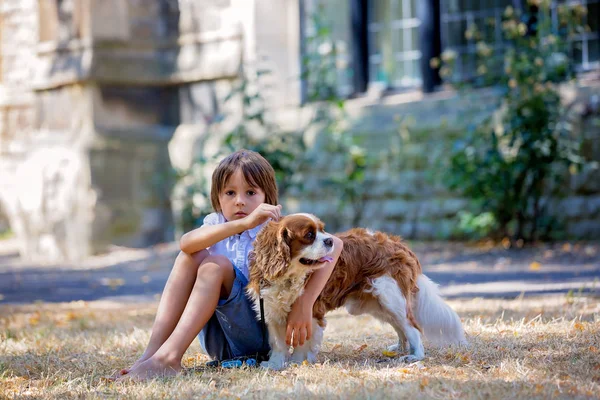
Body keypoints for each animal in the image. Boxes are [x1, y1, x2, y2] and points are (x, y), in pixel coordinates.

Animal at [246, 214, 466, 370]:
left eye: (323, 230)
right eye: (309, 235)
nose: (330, 240)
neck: (289, 276)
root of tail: (399, 244)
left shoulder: (309, 313)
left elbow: (302, 343)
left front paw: (297, 362)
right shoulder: (272, 312)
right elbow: (278, 344)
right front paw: (275, 365)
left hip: (391, 297)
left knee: (412, 327)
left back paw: (415, 355)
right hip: (379, 304)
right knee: (401, 328)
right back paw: (400, 348)